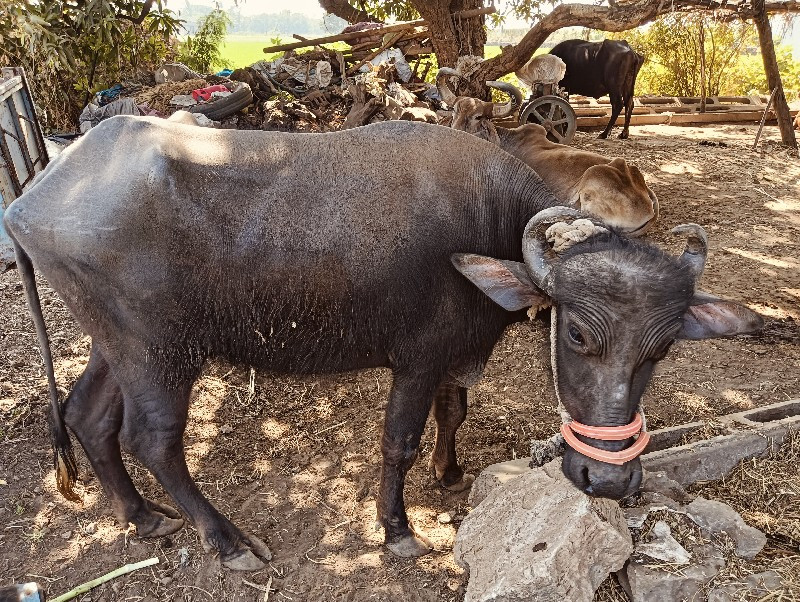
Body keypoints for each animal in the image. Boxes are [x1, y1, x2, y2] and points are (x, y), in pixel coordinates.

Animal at [4, 116, 764, 568]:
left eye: (661, 349)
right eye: (577, 331)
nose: (607, 482)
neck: (482, 222)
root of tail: (29, 199)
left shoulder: (455, 353)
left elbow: (454, 412)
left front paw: (450, 471)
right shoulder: (417, 359)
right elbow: (398, 440)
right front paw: (398, 530)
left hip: (115, 346)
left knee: (87, 418)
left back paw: (142, 519)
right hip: (159, 353)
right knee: (153, 439)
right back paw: (226, 541)